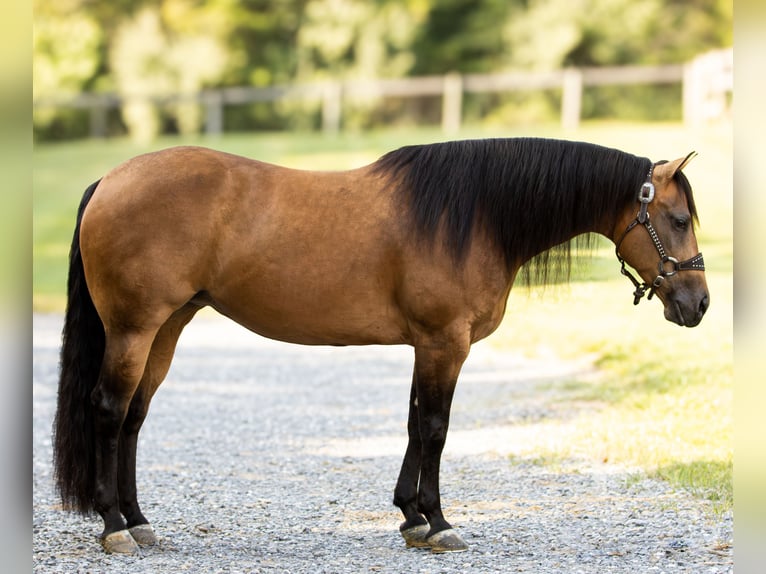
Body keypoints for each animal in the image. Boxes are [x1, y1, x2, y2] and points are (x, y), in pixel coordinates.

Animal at [52, 138, 708, 555]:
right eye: (677, 220)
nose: (699, 304)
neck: (471, 216)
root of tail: (110, 180)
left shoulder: (428, 344)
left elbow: (416, 423)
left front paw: (411, 516)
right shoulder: (445, 342)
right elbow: (437, 427)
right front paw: (438, 522)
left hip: (167, 327)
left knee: (134, 417)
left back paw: (139, 521)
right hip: (134, 328)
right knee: (108, 411)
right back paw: (113, 526)